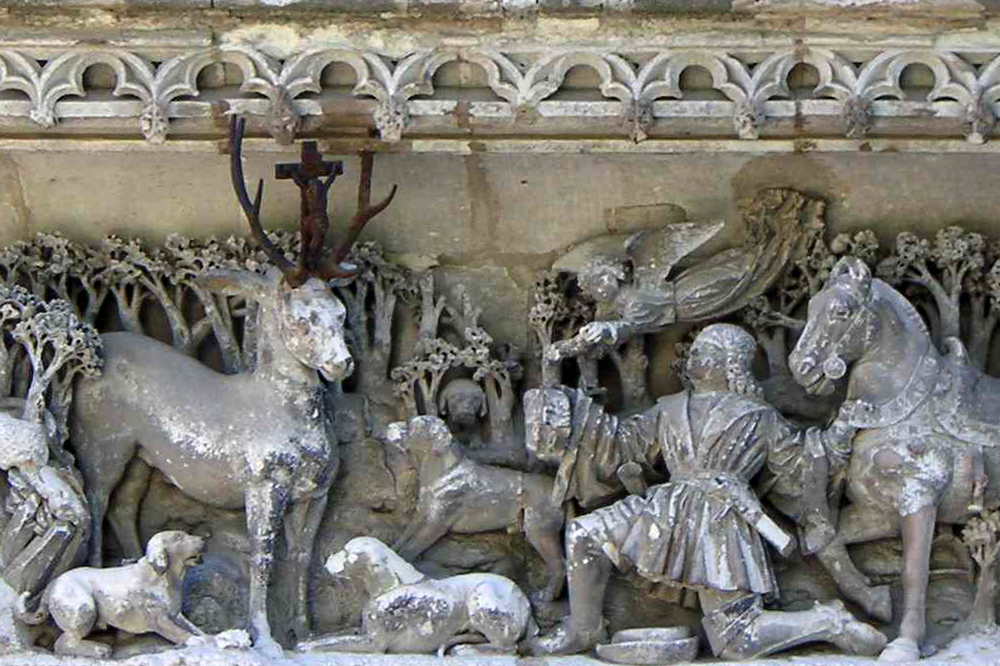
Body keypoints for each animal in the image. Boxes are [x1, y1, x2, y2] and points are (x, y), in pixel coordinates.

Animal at [18, 528, 207, 652]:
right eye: (179, 537)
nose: (203, 540)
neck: (166, 578)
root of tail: (52, 584)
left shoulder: (176, 615)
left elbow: (193, 628)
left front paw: (206, 637)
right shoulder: (159, 619)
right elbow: (178, 632)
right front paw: (195, 641)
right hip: (84, 609)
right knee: (63, 644)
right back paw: (99, 649)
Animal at [294, 536, 540, 652]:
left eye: (346, 553)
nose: (326, 559)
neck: (391, 586)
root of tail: (524, 599)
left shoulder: (373, 643)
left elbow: (331, 643)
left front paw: (306, 646)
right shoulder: (361, 631)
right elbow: (332, 636)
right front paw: (308, 639)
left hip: (482, 595)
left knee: (508, 647)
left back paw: (468, 649)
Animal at [386, 416, 568, 596]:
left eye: (412, 426)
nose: (389, 426)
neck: (440, 473)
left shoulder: (437, 523)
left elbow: (412, 547)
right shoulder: (422, 513)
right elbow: (404, 538)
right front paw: (391, 550)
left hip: (539, 530)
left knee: (559, 564)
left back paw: (547, 596)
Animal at [788, 255, 1000, 660]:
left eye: (841, 311)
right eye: (810, 307)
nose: (800, 368)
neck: (900, 410)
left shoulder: (919, 496)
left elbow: (914, 571)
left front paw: (904, 643)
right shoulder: (879, 511)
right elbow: (829, 541)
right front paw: (873, 600)